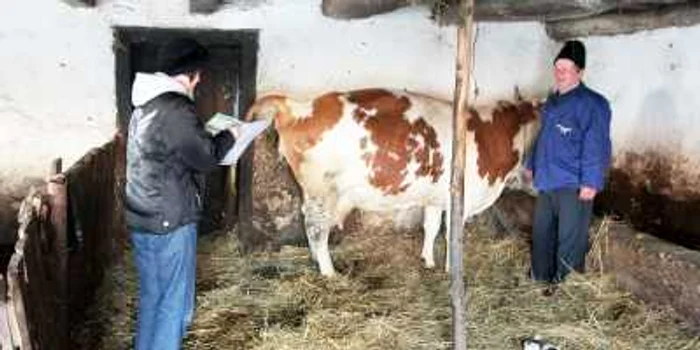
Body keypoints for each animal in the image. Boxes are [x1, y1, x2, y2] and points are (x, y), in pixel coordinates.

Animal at [246, 88, 540, 276]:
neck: (491, 133)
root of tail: (300, 107)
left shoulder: (436, 196)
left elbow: (431, 227)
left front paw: (428, 261)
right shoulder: (462, 200)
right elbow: (452, 236)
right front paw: (451, 270)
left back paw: (316, 259)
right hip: (322, 191)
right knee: (316, 228)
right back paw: (328, 271)